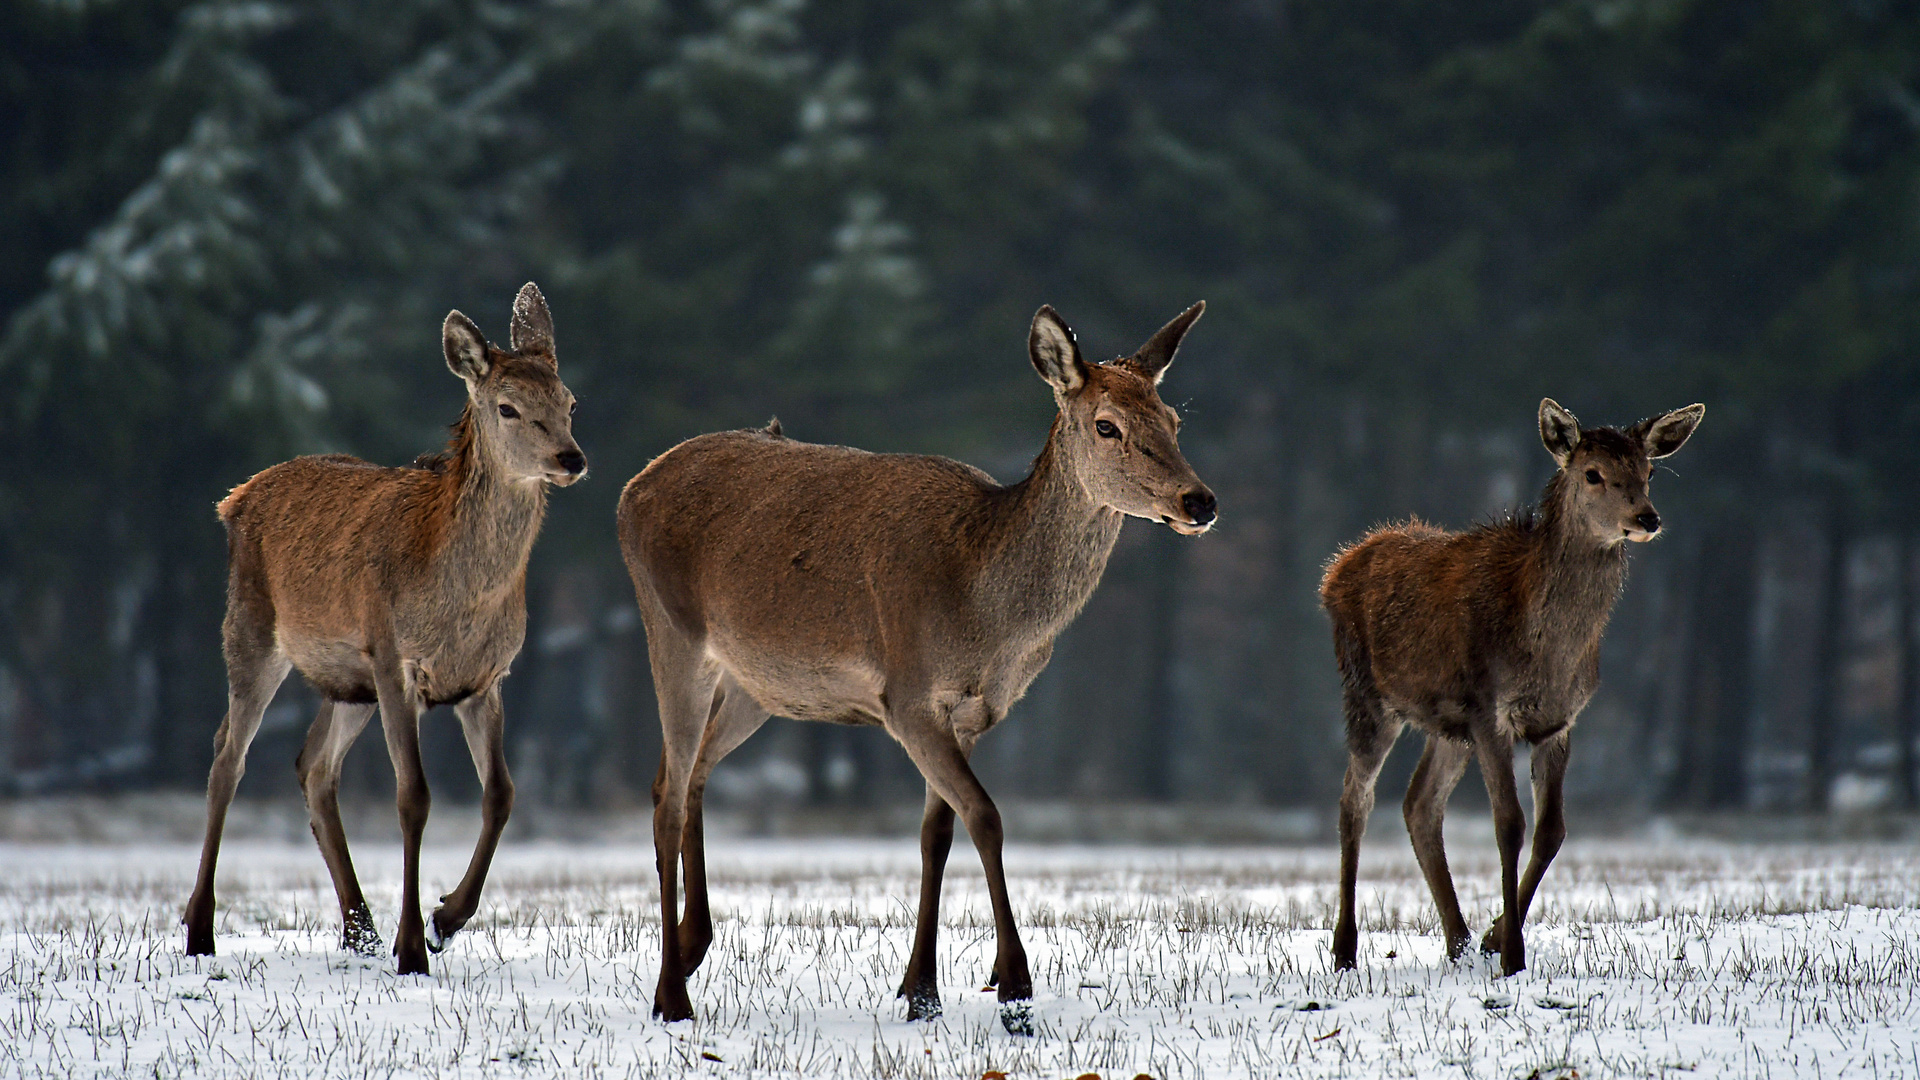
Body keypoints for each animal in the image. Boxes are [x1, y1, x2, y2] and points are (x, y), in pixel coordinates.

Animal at [181, 282, 583, 972]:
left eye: (570, 402)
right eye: (507, 407)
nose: (571, 457)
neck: (459, 597)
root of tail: (235, 496)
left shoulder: (485, 678)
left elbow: (502, 793)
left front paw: (446, 918)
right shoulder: (397, 658)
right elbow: (413, 796)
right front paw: (413, 946)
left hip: (349, 680)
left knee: (312, 765)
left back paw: (358, 928)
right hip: (253, 631)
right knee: (226, 758)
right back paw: (200, 929)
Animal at [614, 297, 1213, 1030]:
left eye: (1174, 420)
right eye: (1107, 425)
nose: (1199, 501)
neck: (986, 613)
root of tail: (632, 486)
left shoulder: (972, 712)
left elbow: (937, 832)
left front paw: (920, 988)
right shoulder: (907, 696)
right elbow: (987, 817)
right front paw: (1014, 985)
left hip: (757, 684)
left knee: (687, 774)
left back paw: (692, 947)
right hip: (670, 630)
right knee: (667, 795)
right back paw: (673, 994)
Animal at [1320, 397, 1712, 976]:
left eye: (1649, 472)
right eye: (1592, 473)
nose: (1646, 517)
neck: (1547, 654)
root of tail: (1335, 569)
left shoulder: (1558, 721)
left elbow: (1552, 830)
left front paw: (1494, 936)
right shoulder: (1490, 711)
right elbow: (1508, 823)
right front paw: (1511, 954)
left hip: (1447, 725)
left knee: (1419, 804)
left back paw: (1458, 940)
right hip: (1368, 695)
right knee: (1355, 799)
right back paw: (1345, 947)